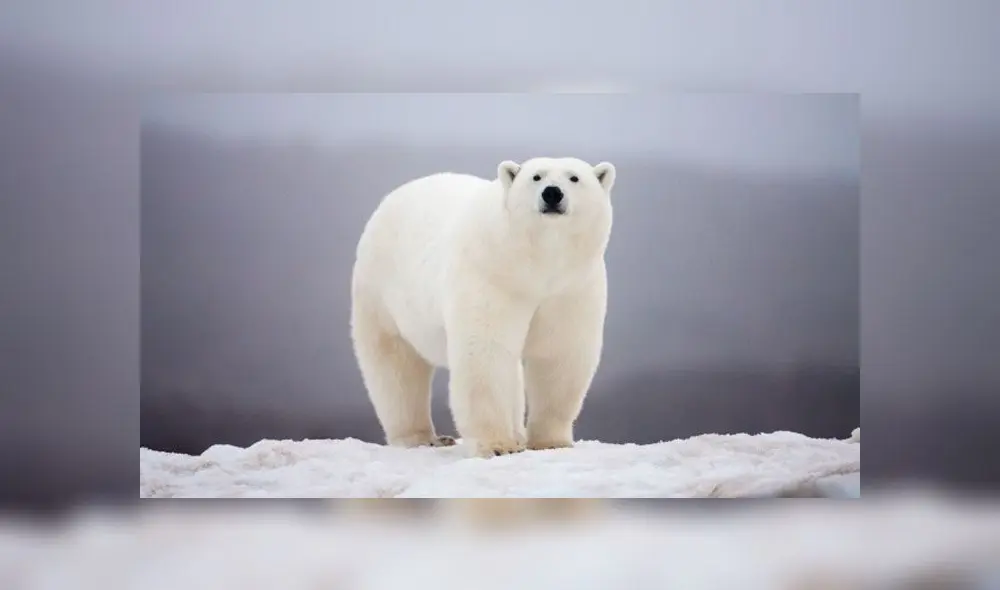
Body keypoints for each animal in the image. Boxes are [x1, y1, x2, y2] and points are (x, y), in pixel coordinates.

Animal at [350, 157, 616, 458]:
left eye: (574, 178)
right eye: (536, 177)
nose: (552, 193)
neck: (535, 265)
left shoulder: (570, 288)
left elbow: (558, 353)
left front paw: (551, 442)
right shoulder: (491, 274)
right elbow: (487, 352)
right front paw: (497, 446)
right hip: (381, 292)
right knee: (396, 365)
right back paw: (421, 438)